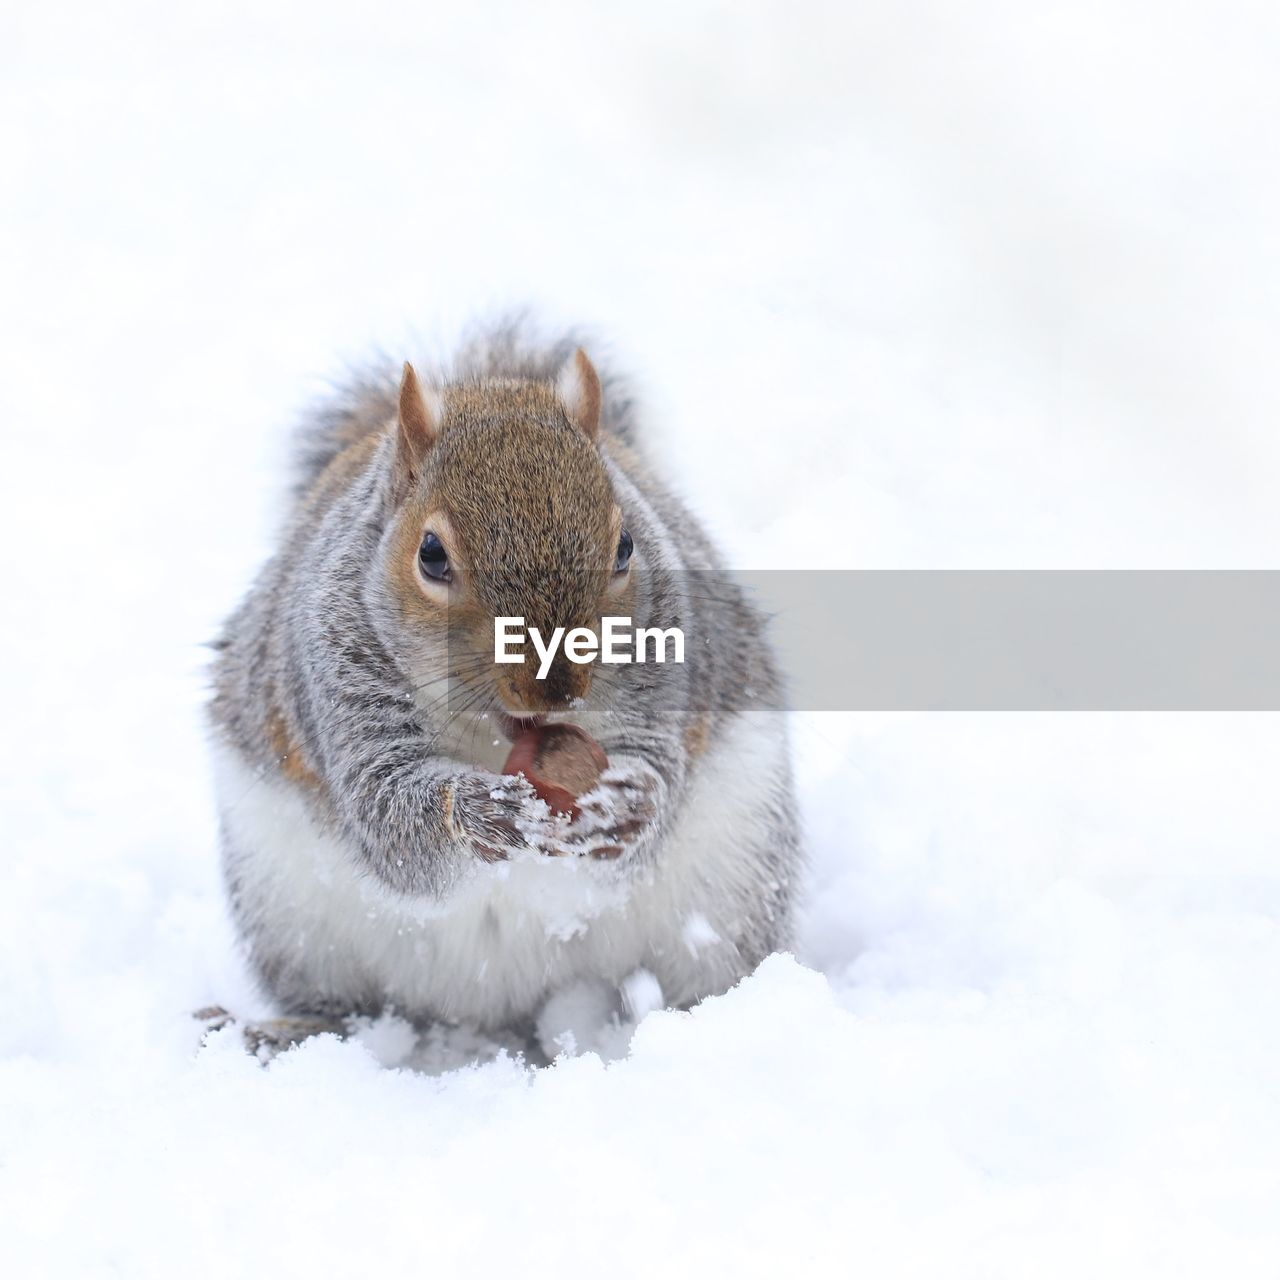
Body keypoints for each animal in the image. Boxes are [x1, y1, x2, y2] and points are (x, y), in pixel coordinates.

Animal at [209, 320, 803, 1049]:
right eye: (431, 554)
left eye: (626, 547)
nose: (556, 690)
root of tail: (501, 1012)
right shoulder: (333, 679)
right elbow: (388, 818)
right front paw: (480, 810)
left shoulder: (669, 669)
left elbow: (655, 772)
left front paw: (626, 799)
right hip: (292, 923)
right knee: (343, 1004)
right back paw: (280, 1032)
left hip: (735, 878)